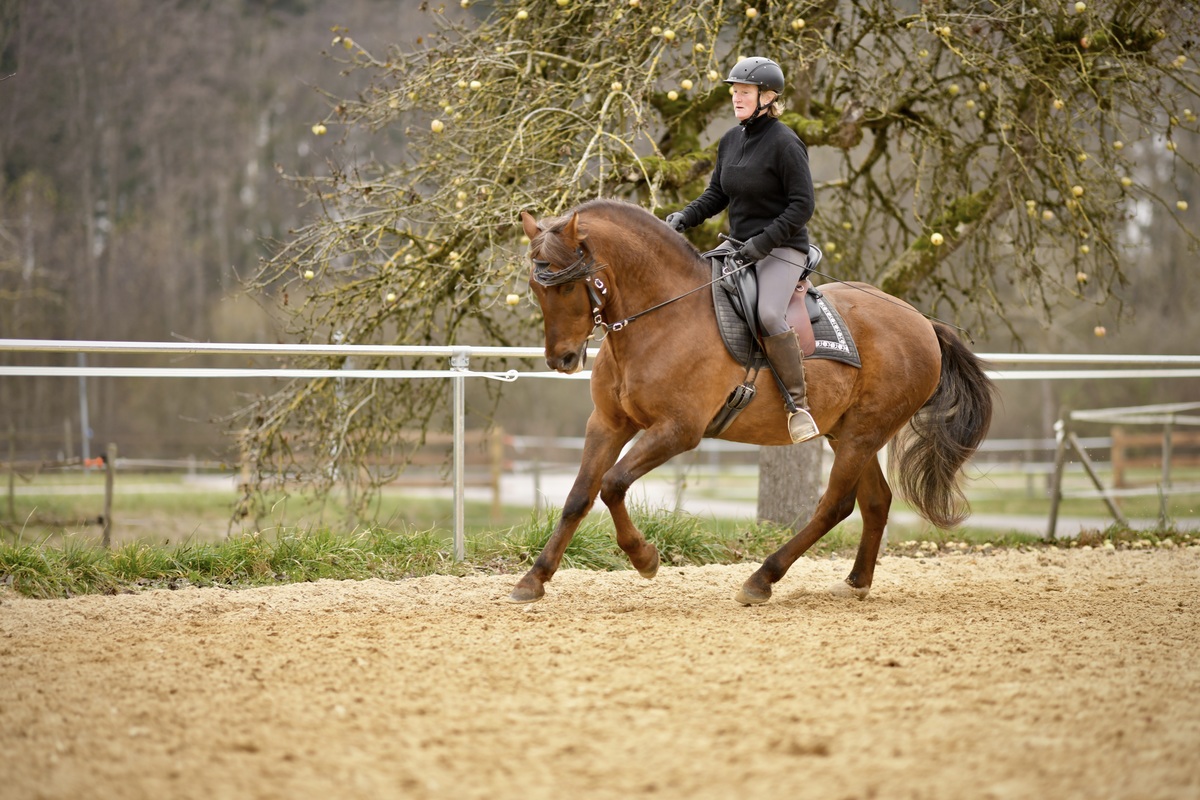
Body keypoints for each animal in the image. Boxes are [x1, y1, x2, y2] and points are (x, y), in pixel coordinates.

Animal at [516, 200, 993, 606]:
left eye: (567, 287)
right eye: (535, 287)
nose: (561, 359)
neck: (661, 317)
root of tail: (922, 322)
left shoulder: (677, 431)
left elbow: (613, 484)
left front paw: (644, 558)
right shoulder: (608, 423)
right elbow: (579, 496)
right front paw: (534, 579)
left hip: (864, 432)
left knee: (834, 505)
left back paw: (762, 578)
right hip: (846, 433)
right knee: (874, 502)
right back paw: (855, 583)